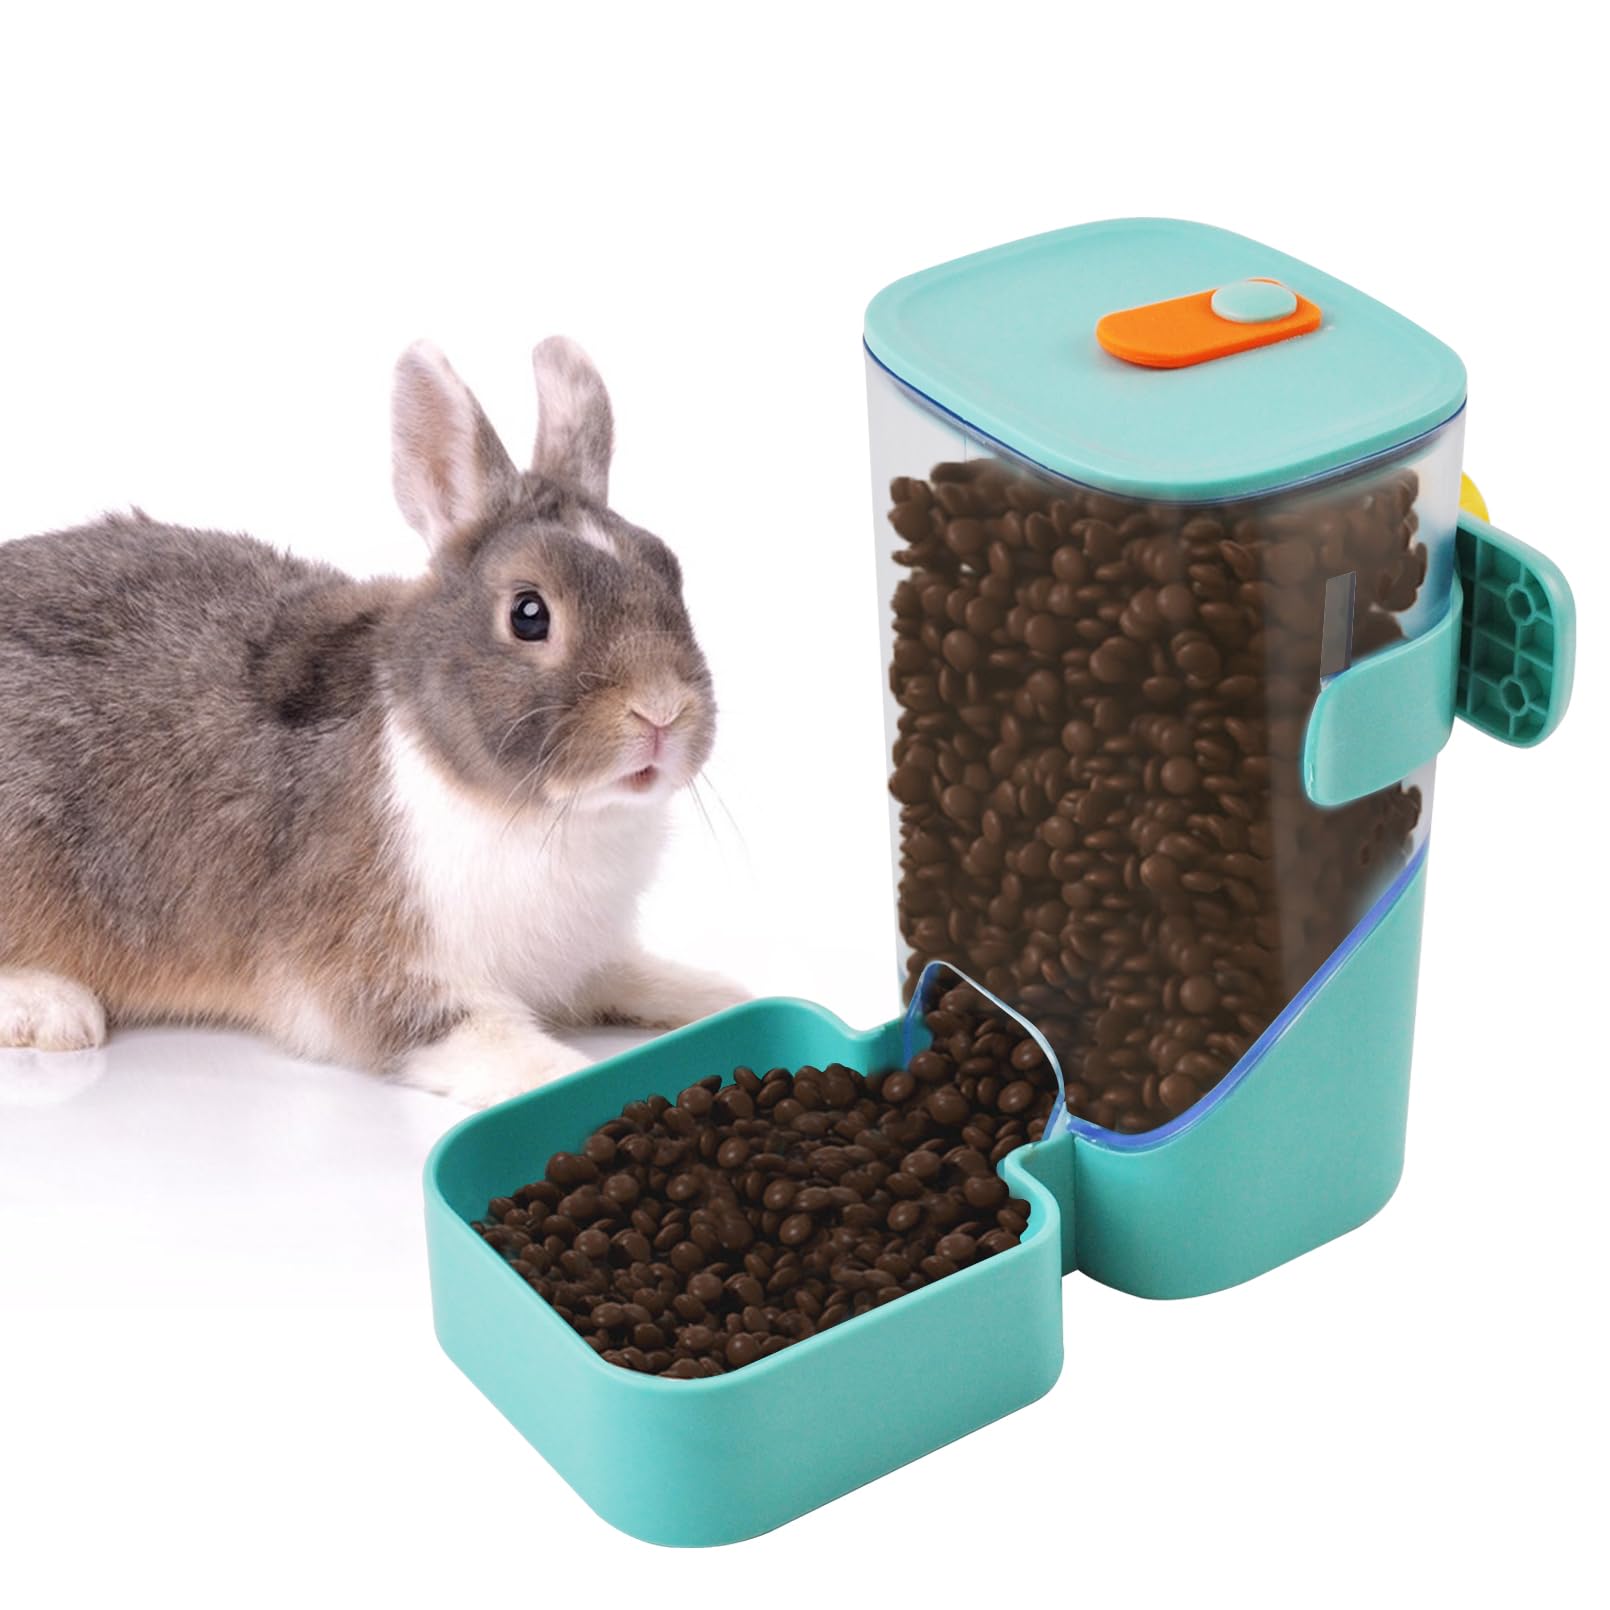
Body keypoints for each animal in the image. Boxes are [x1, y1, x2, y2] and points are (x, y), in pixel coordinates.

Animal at [0, 337, 747, 1105]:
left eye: (671, 573)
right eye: (529, 613)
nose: (661, 711)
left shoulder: (581, 959)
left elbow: (629, 973)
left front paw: (719, 997)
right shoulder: (378, 968)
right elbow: (472, 1032)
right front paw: (566, 1080)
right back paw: (53, 1008)